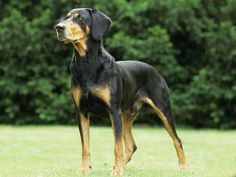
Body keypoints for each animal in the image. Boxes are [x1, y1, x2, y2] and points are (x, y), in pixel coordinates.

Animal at [54, 7, 186, 176]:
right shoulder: (81, 112)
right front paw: (84, 169)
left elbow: (117, 145)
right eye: (66, 17)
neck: (87, 63)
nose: (59, 27)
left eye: (80, 18)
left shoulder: (113, 111)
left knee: (177, 139)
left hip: (162, 109)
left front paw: (117, 171)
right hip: (126, 116)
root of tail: (155, 70)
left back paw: (183, 166)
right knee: (131, 145)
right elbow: (85, 146)